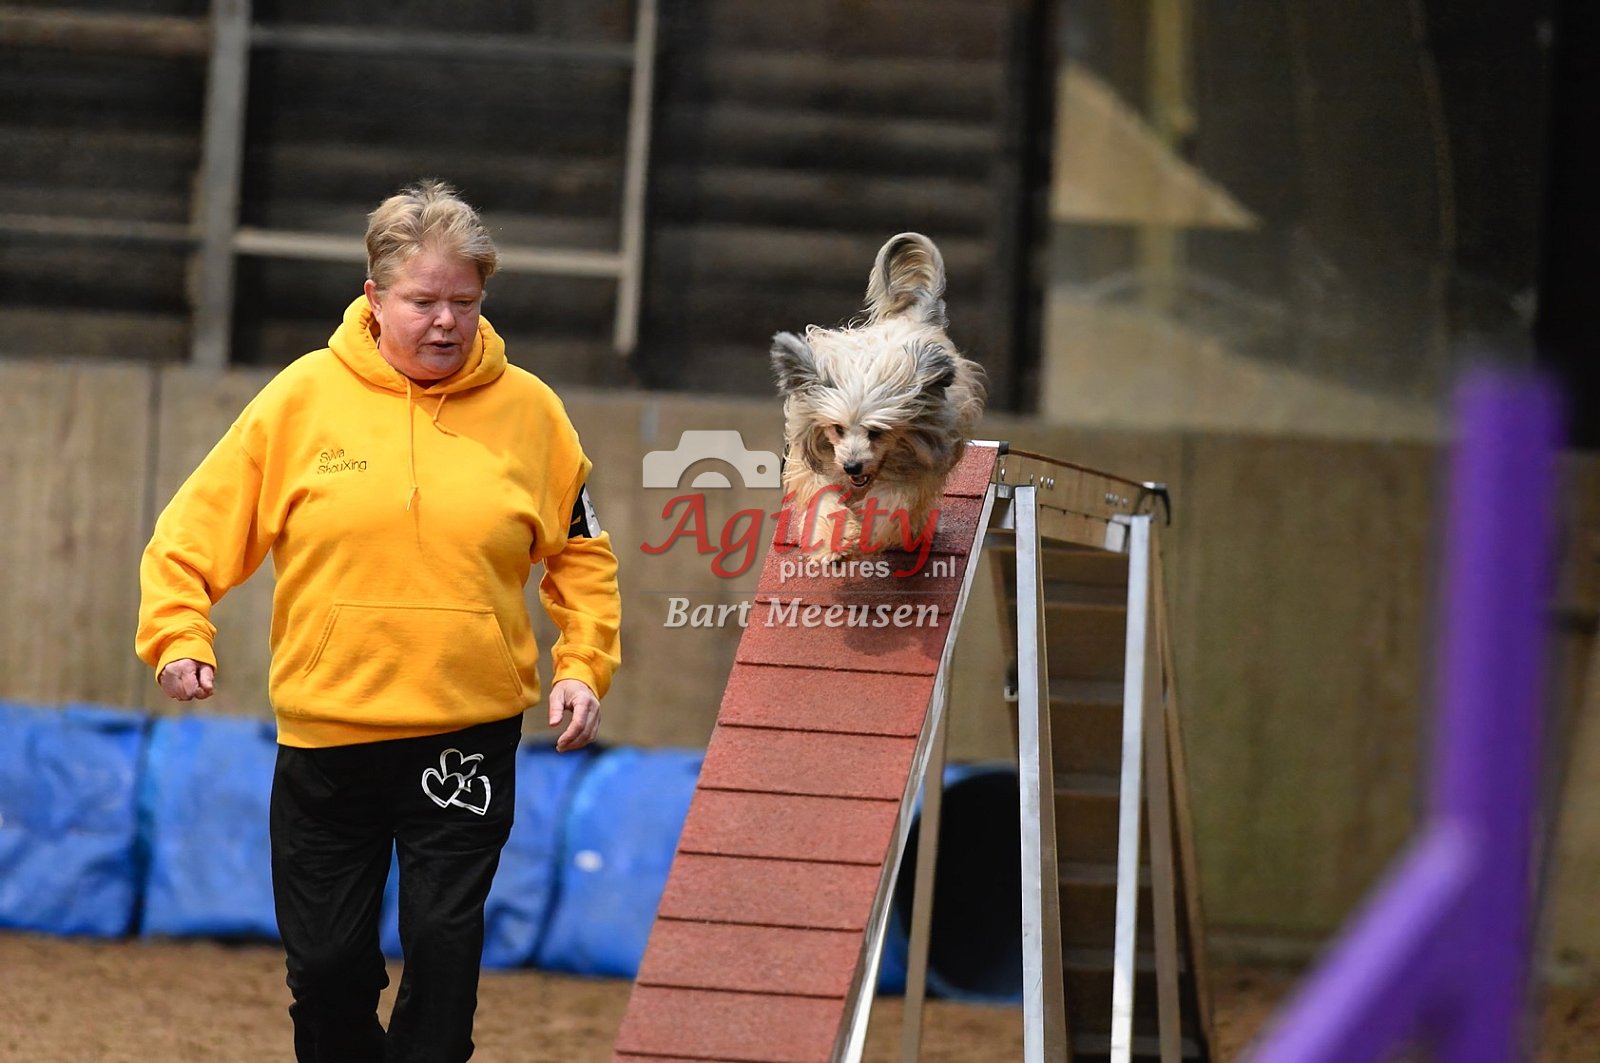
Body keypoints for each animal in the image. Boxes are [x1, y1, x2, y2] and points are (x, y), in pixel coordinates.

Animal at [770, 232, 985, 561]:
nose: (852, 466)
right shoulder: (816, 464)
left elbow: (891, 506)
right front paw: (831, 543)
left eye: (877, 432)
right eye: (837, 429)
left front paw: (867, 536)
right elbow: (825, 499)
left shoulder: (915, 473)